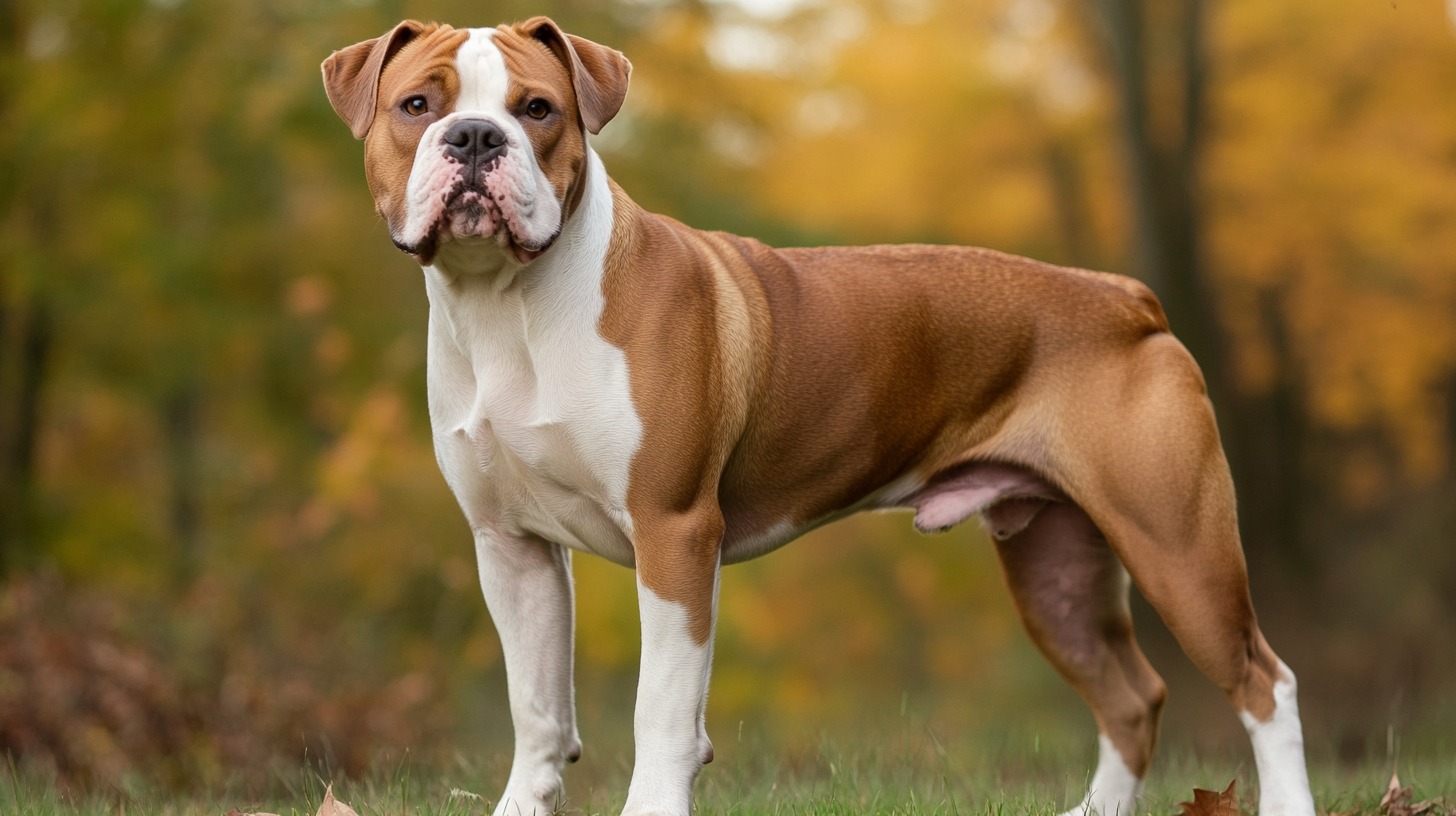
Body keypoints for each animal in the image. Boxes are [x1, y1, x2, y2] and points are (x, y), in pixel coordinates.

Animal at [321, 17, 1322, 816]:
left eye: (537, 109)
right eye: (417, 104)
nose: (474, 136)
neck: (508, 308)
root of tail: (1126, 298)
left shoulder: (674, 534)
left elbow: (661, 709)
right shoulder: (512, 547)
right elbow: (536, 711)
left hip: (1177, 547)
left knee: (1265, 684)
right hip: (1057, 569)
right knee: (1130, 697)